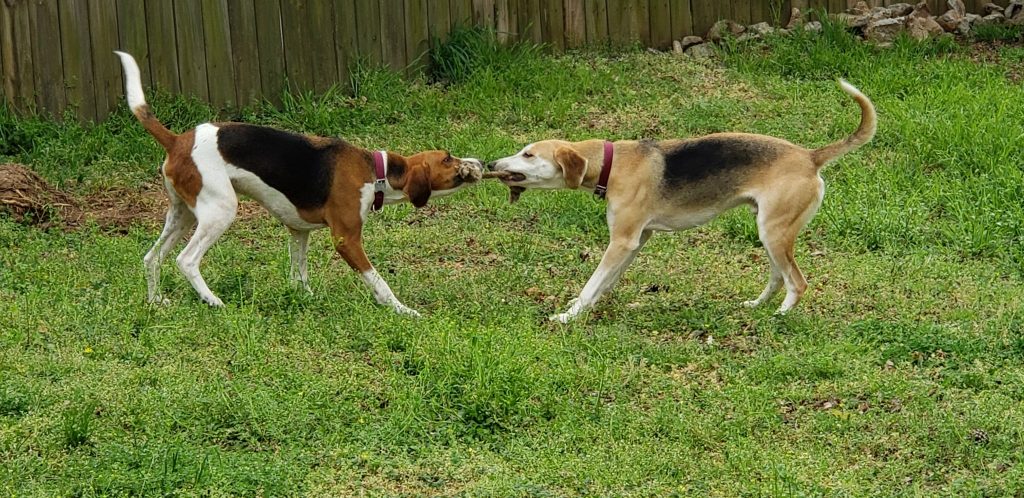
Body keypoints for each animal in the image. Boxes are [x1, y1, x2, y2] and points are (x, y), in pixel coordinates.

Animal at [114, 51, 481, 315]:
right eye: (448, 158)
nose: (478, 164)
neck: (376, 171)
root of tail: (178, 140)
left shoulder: (298, 232)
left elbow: (299, 274)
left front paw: (306, 299)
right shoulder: (346, 239)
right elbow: (378, 282)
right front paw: (402, 310)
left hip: (183, 215)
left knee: (151, 258)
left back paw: (156, 302)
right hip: (219, 211)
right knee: (186, 260)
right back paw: (213, 301)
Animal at [487, 79, 872, 321]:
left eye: (528, 154)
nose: (491, 165)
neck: (612, 163)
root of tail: (810, 157)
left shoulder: (622, 242)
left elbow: (592, 283)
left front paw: (567, 316)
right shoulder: (637, 241)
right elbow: (605, 283)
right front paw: (587, 308)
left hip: (774, 232)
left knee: (797, 282)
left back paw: (779, 317)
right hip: (769, 233)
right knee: (779, 277)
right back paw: (757, 305)